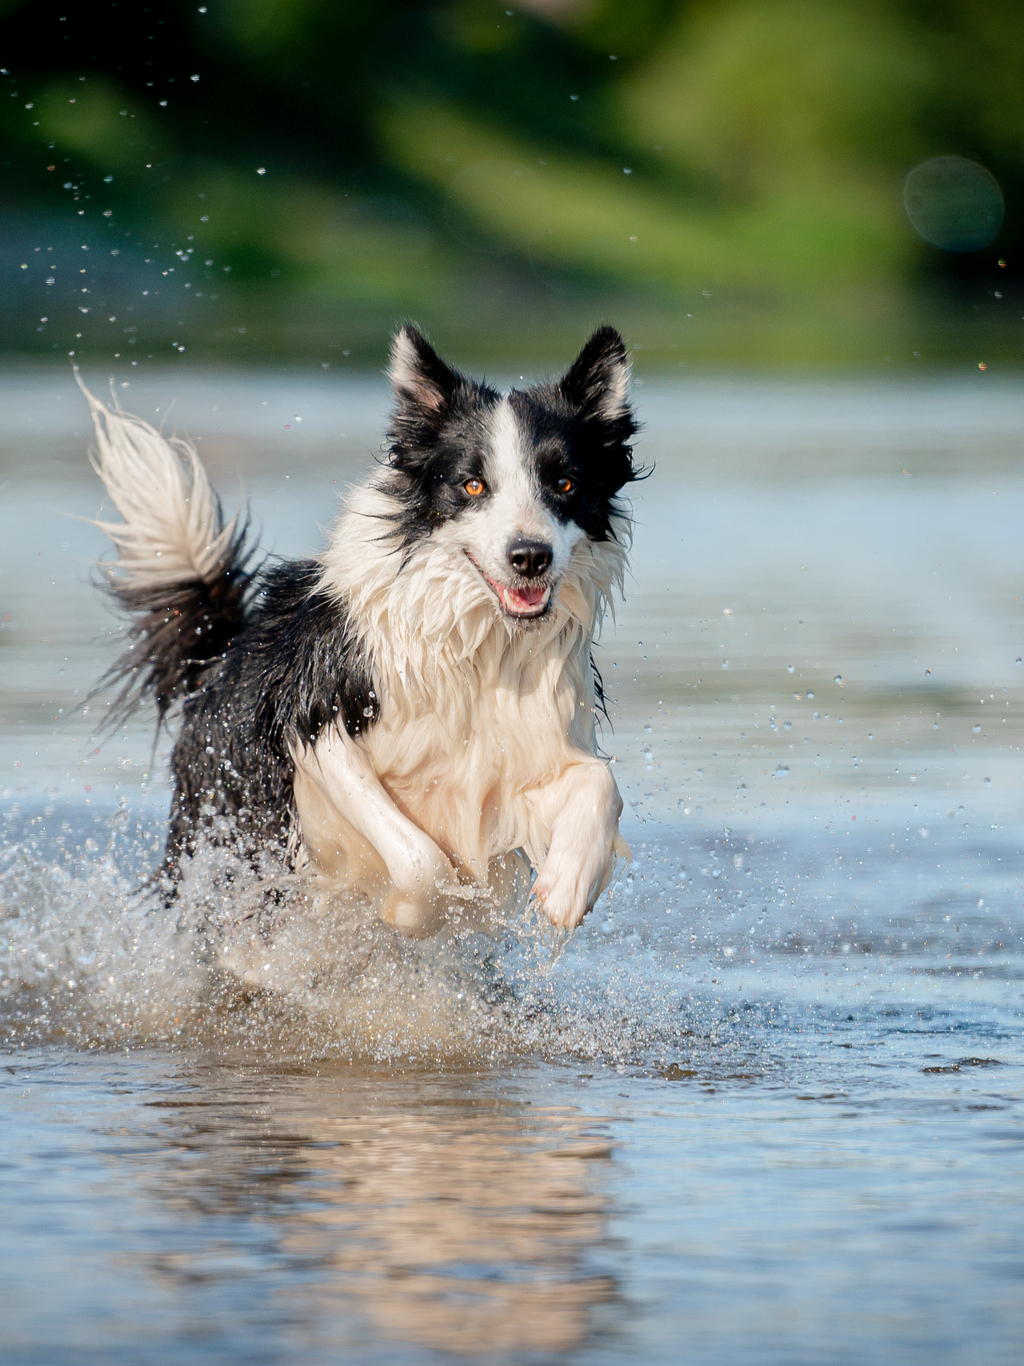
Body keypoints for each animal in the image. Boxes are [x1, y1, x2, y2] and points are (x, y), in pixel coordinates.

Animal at [80, 323, 641, 934]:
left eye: (564, 483)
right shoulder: (316, 718)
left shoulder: (528, 746)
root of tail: (224, 653)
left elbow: (602, 781)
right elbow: (420, 859)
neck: (475, 646)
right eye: (472, 486)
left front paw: (567, 886)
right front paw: (408, 914)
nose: (530, 557)